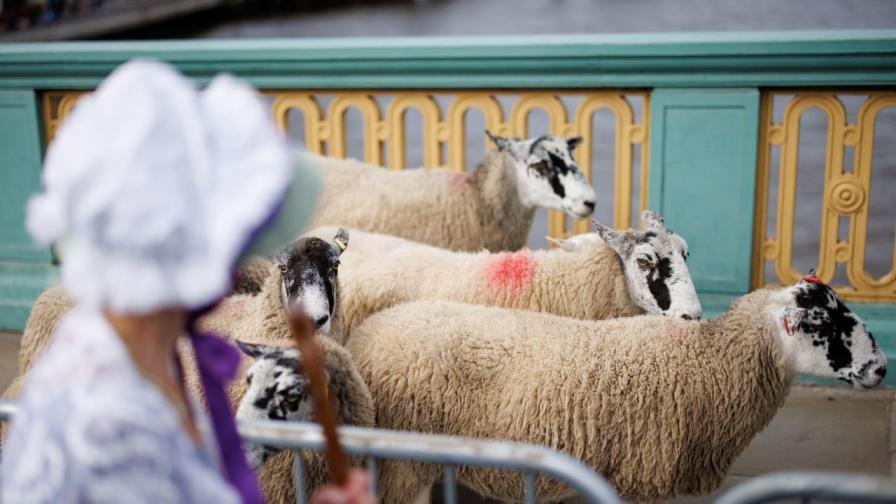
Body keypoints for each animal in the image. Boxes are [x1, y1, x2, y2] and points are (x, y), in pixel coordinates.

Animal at [346, 278, 884, 502]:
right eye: (822, 322)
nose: (880, 367)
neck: (710, 360)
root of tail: (369, 335)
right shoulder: (645, 475)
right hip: (404, 463)